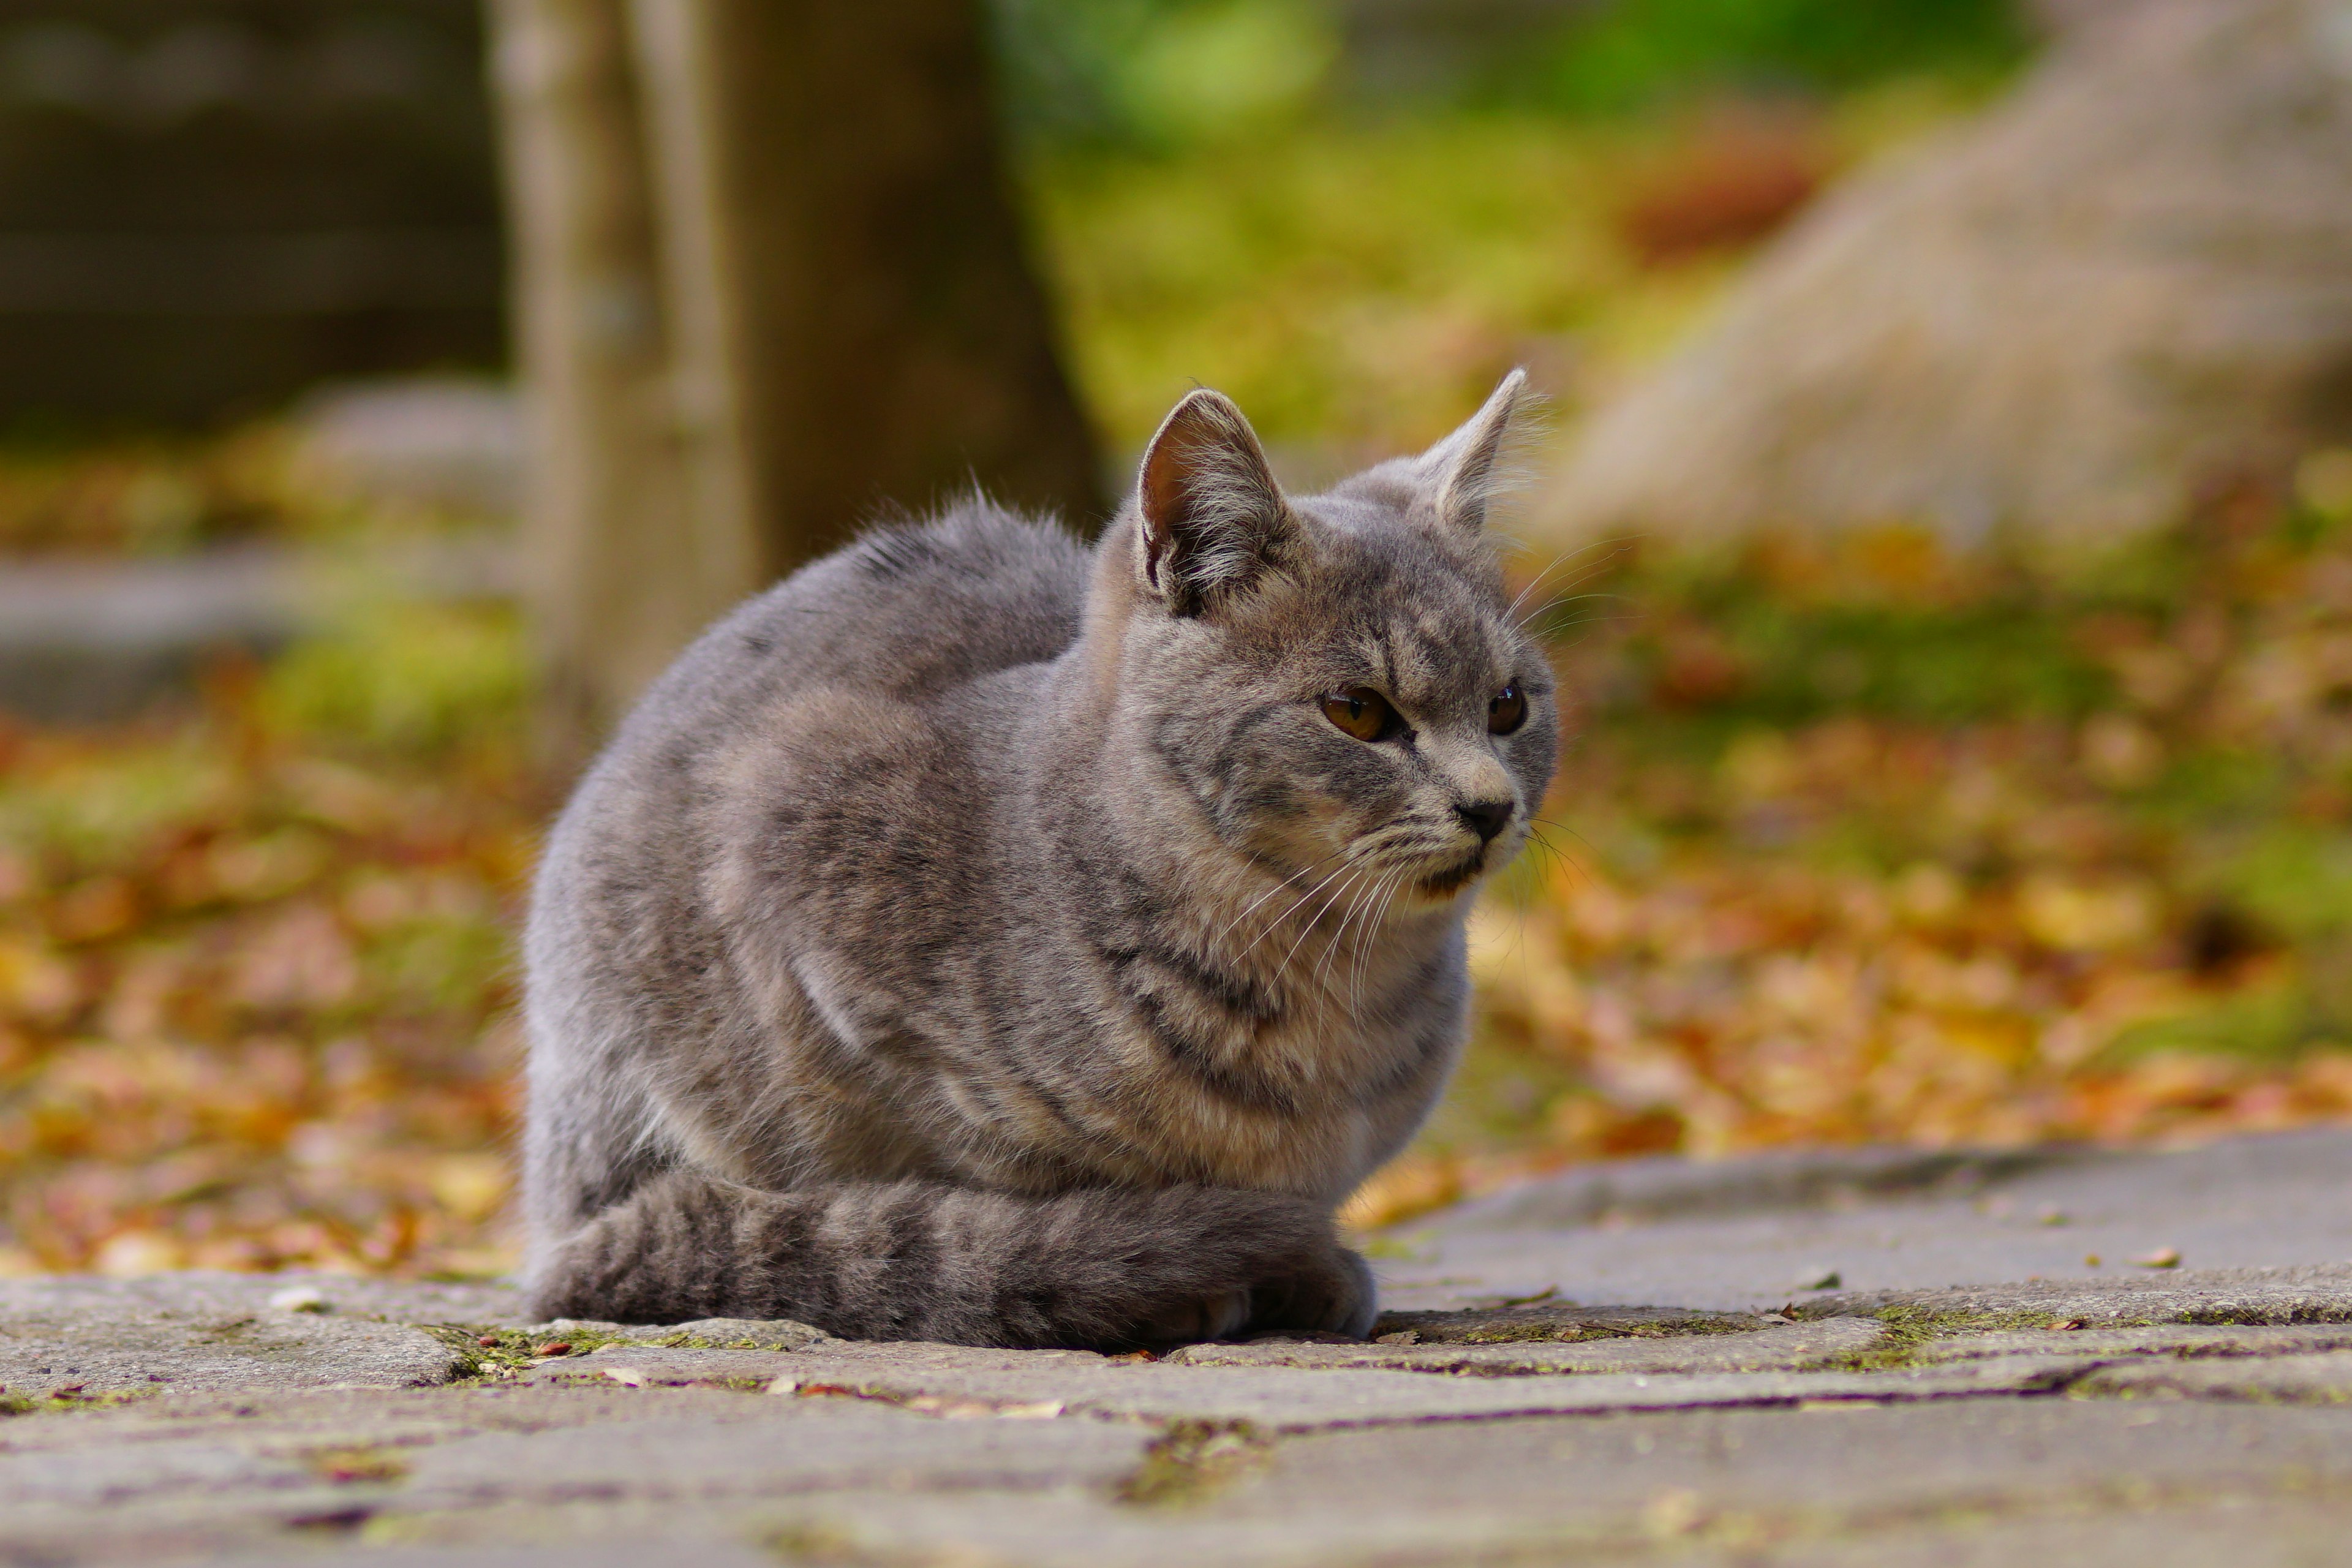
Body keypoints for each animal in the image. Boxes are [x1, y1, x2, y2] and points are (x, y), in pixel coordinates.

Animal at [522, 371, 1552, 1354]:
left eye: (1508, 706)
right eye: (1357, 712)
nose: (1491, 806)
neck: (1328, 978)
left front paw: (1307, 1268)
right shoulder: (796, 877)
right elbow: (959, 1179)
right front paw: (1166, 1264)